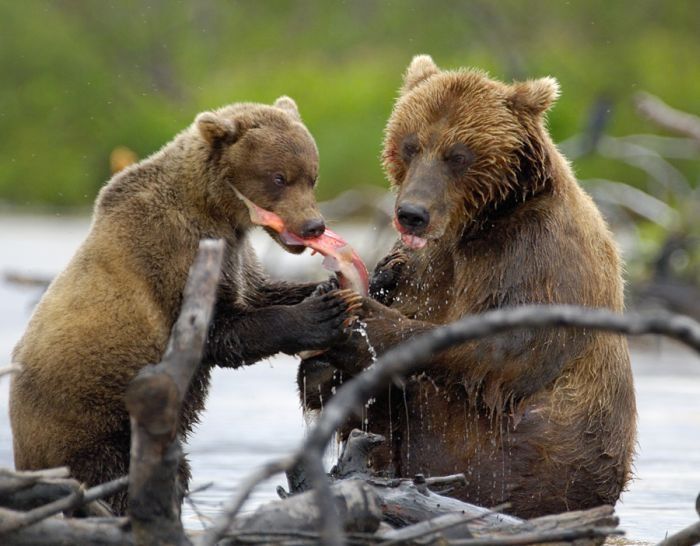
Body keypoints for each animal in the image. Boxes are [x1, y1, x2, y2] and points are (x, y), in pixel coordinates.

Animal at [11, 94, 358, 516]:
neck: (216, 210)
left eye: (312, 175)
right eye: (278, 177)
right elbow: (220, 331)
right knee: (113, 478)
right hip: (90, 424)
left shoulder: (235, 255)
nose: (313, 226)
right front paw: (319, 314)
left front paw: (331, 287)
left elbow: (260, 290)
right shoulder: (175, 253)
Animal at [300, 56, 636, 520]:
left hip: (546, 460)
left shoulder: (536, 255)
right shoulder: (424, 264)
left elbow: (504, 347)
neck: (477, 223)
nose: (412, 213)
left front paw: (363, 322)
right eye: (411, 144)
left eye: (458, 154)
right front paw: (320, 353)